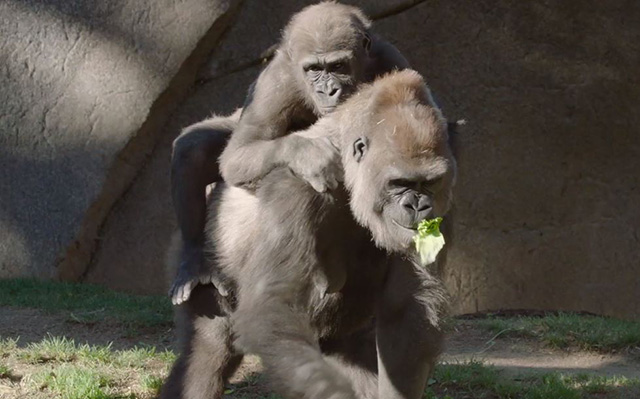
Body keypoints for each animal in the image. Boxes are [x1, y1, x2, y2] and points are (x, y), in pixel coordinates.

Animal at [162, 69, 458, 399]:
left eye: (429, 183)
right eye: (399, 183)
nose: (418, 206)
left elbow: (408, 310)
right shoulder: (297, 183)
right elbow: (272, 309)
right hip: (197, 252)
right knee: (209, 352)